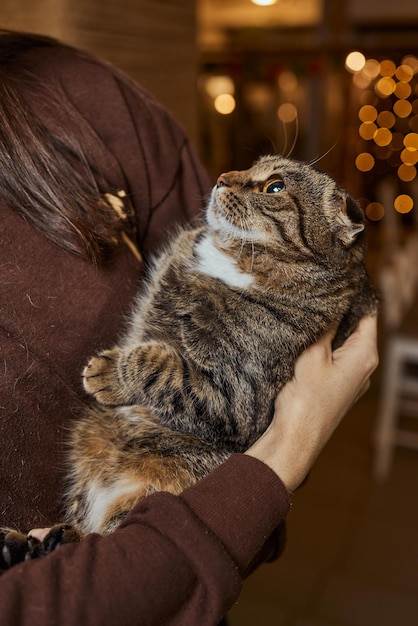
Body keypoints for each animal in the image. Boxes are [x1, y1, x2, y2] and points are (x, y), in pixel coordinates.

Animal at [0, 156, 378, 564]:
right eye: (251, 166)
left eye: (274, 187)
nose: (222, 177)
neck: (232, 259)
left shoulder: (234, 399)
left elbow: (159, 365)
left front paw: (110, 373)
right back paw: (28, 544)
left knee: (107, 532)